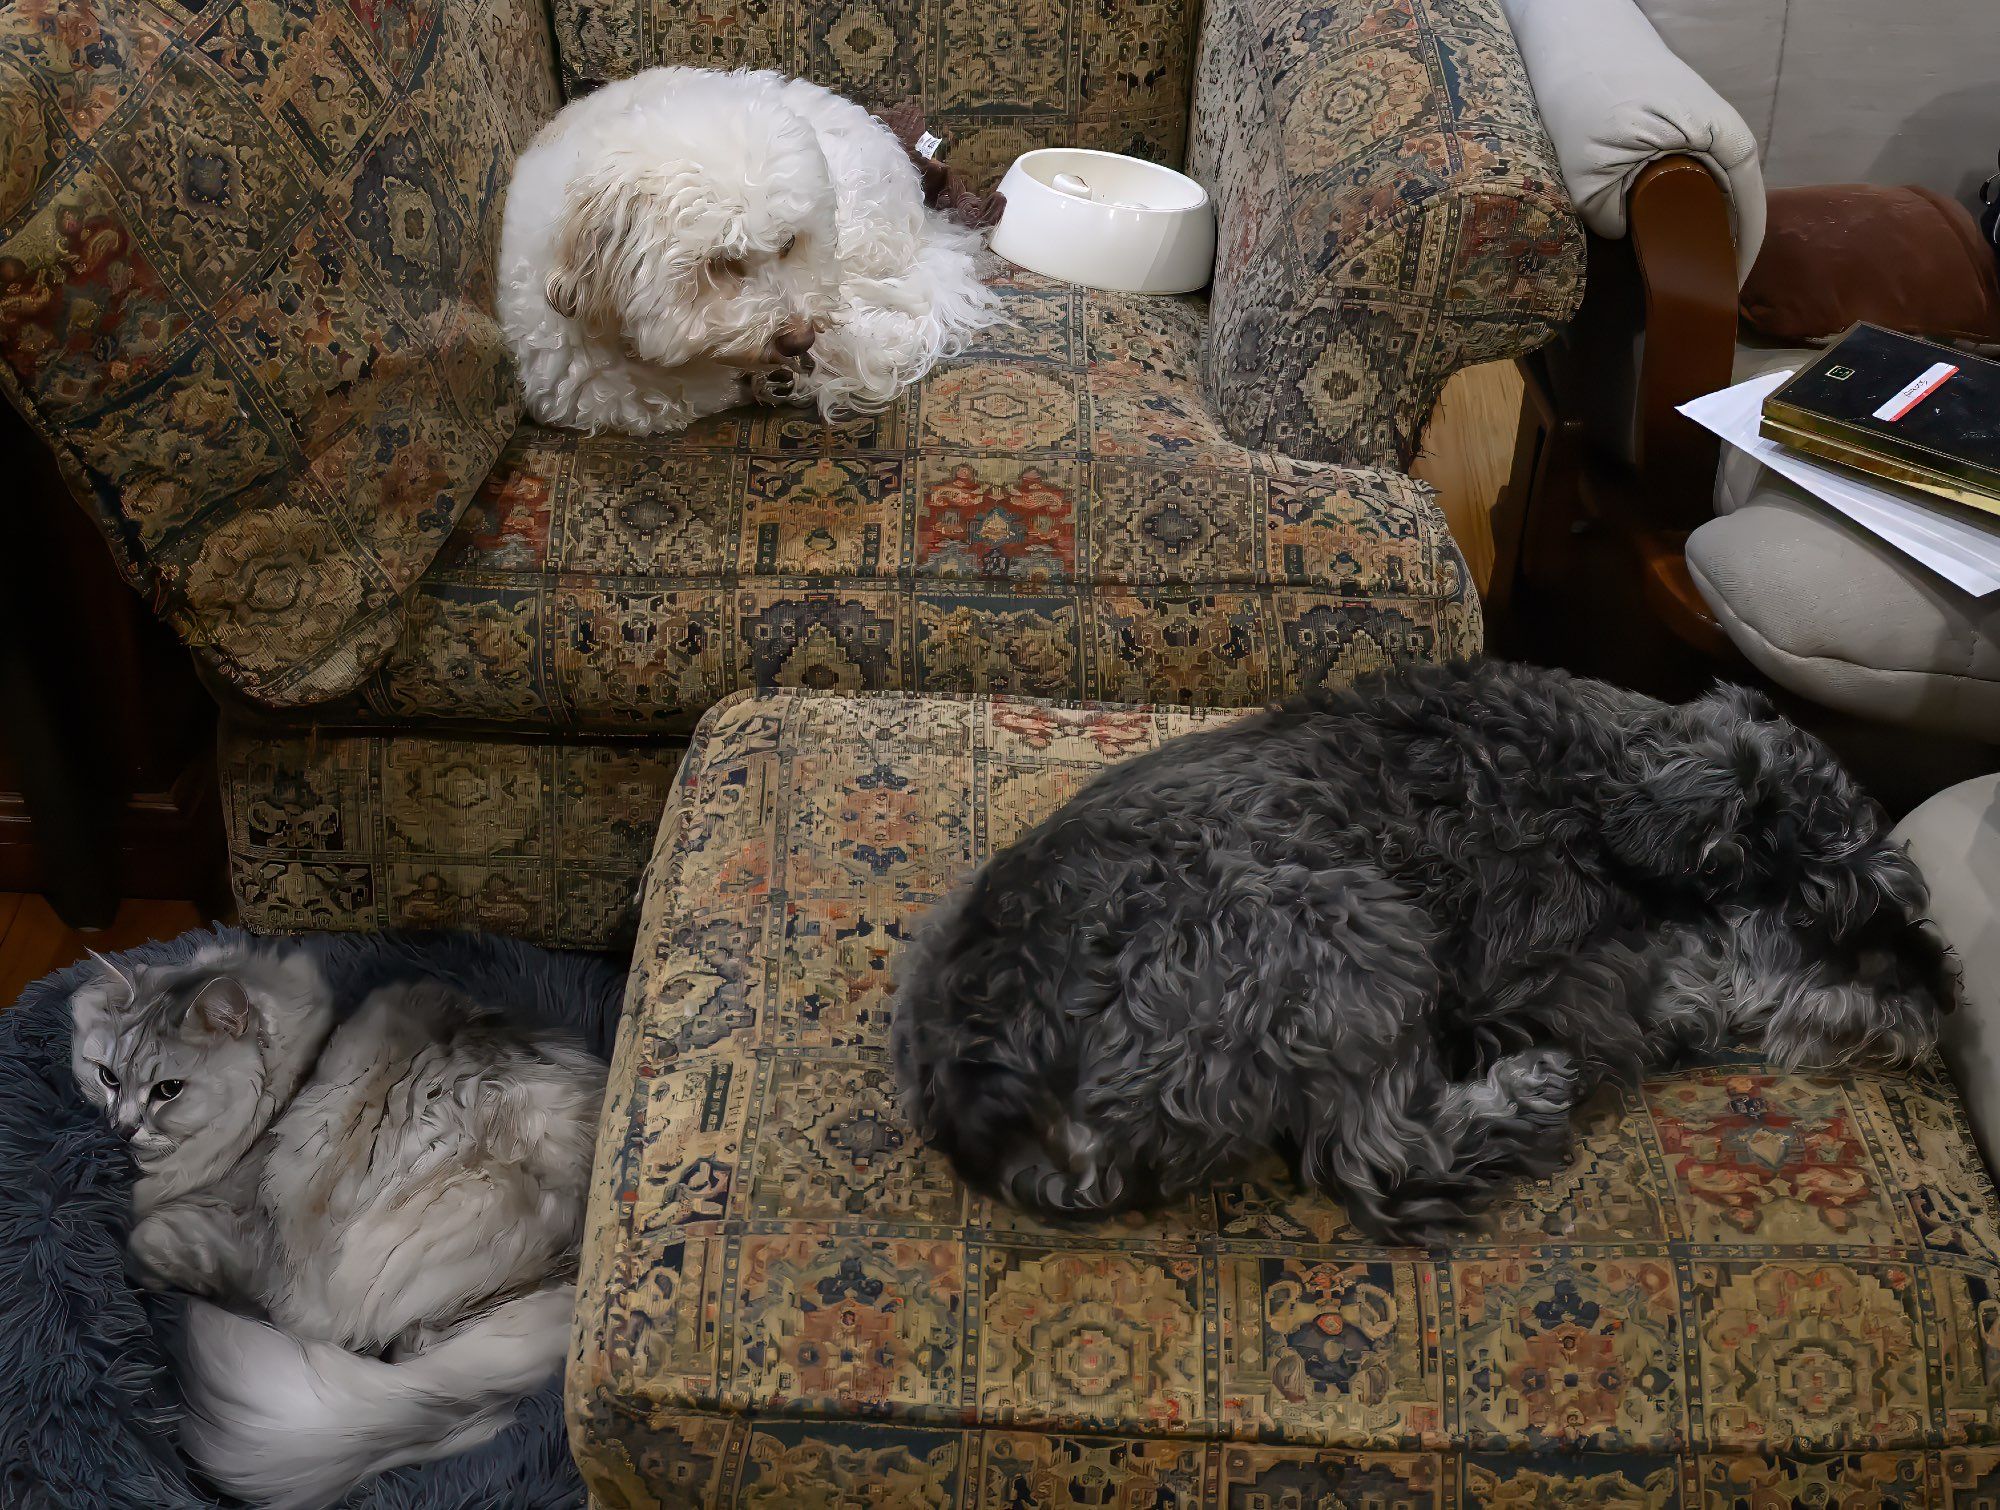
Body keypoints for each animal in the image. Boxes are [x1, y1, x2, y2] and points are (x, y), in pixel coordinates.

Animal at [70, 940, 604, 1504]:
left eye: (168, 1090)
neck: (283, 1092)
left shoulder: (238, 1231)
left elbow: (146, 1239)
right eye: (107, 1077)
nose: (121, 1128)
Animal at [896, 660, 1952, 1240]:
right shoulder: (1529, 966)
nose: (1942, 1000)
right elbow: (1651, 980)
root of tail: (992, 1104)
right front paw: (1692, 992)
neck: (1603, 783)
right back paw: (1531, 1089)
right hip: (1344, 919)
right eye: (1838, 914)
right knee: (1386, 1162)